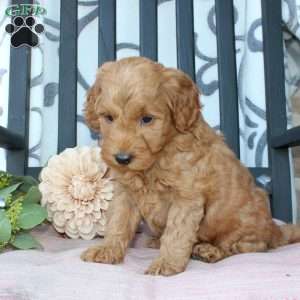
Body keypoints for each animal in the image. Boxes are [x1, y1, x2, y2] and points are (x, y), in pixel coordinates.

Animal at [81, 56, 300, 276]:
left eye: (147, 119)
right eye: (108, 118)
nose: (122, 158)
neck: (157, 157)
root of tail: (274, 229)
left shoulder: (186, 198)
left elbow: (176, 233)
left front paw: (167, 263)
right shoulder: (125, 194)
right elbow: (118, 222)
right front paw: (107, 250)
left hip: (244, 223)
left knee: (245, 246)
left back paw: (209, 250)